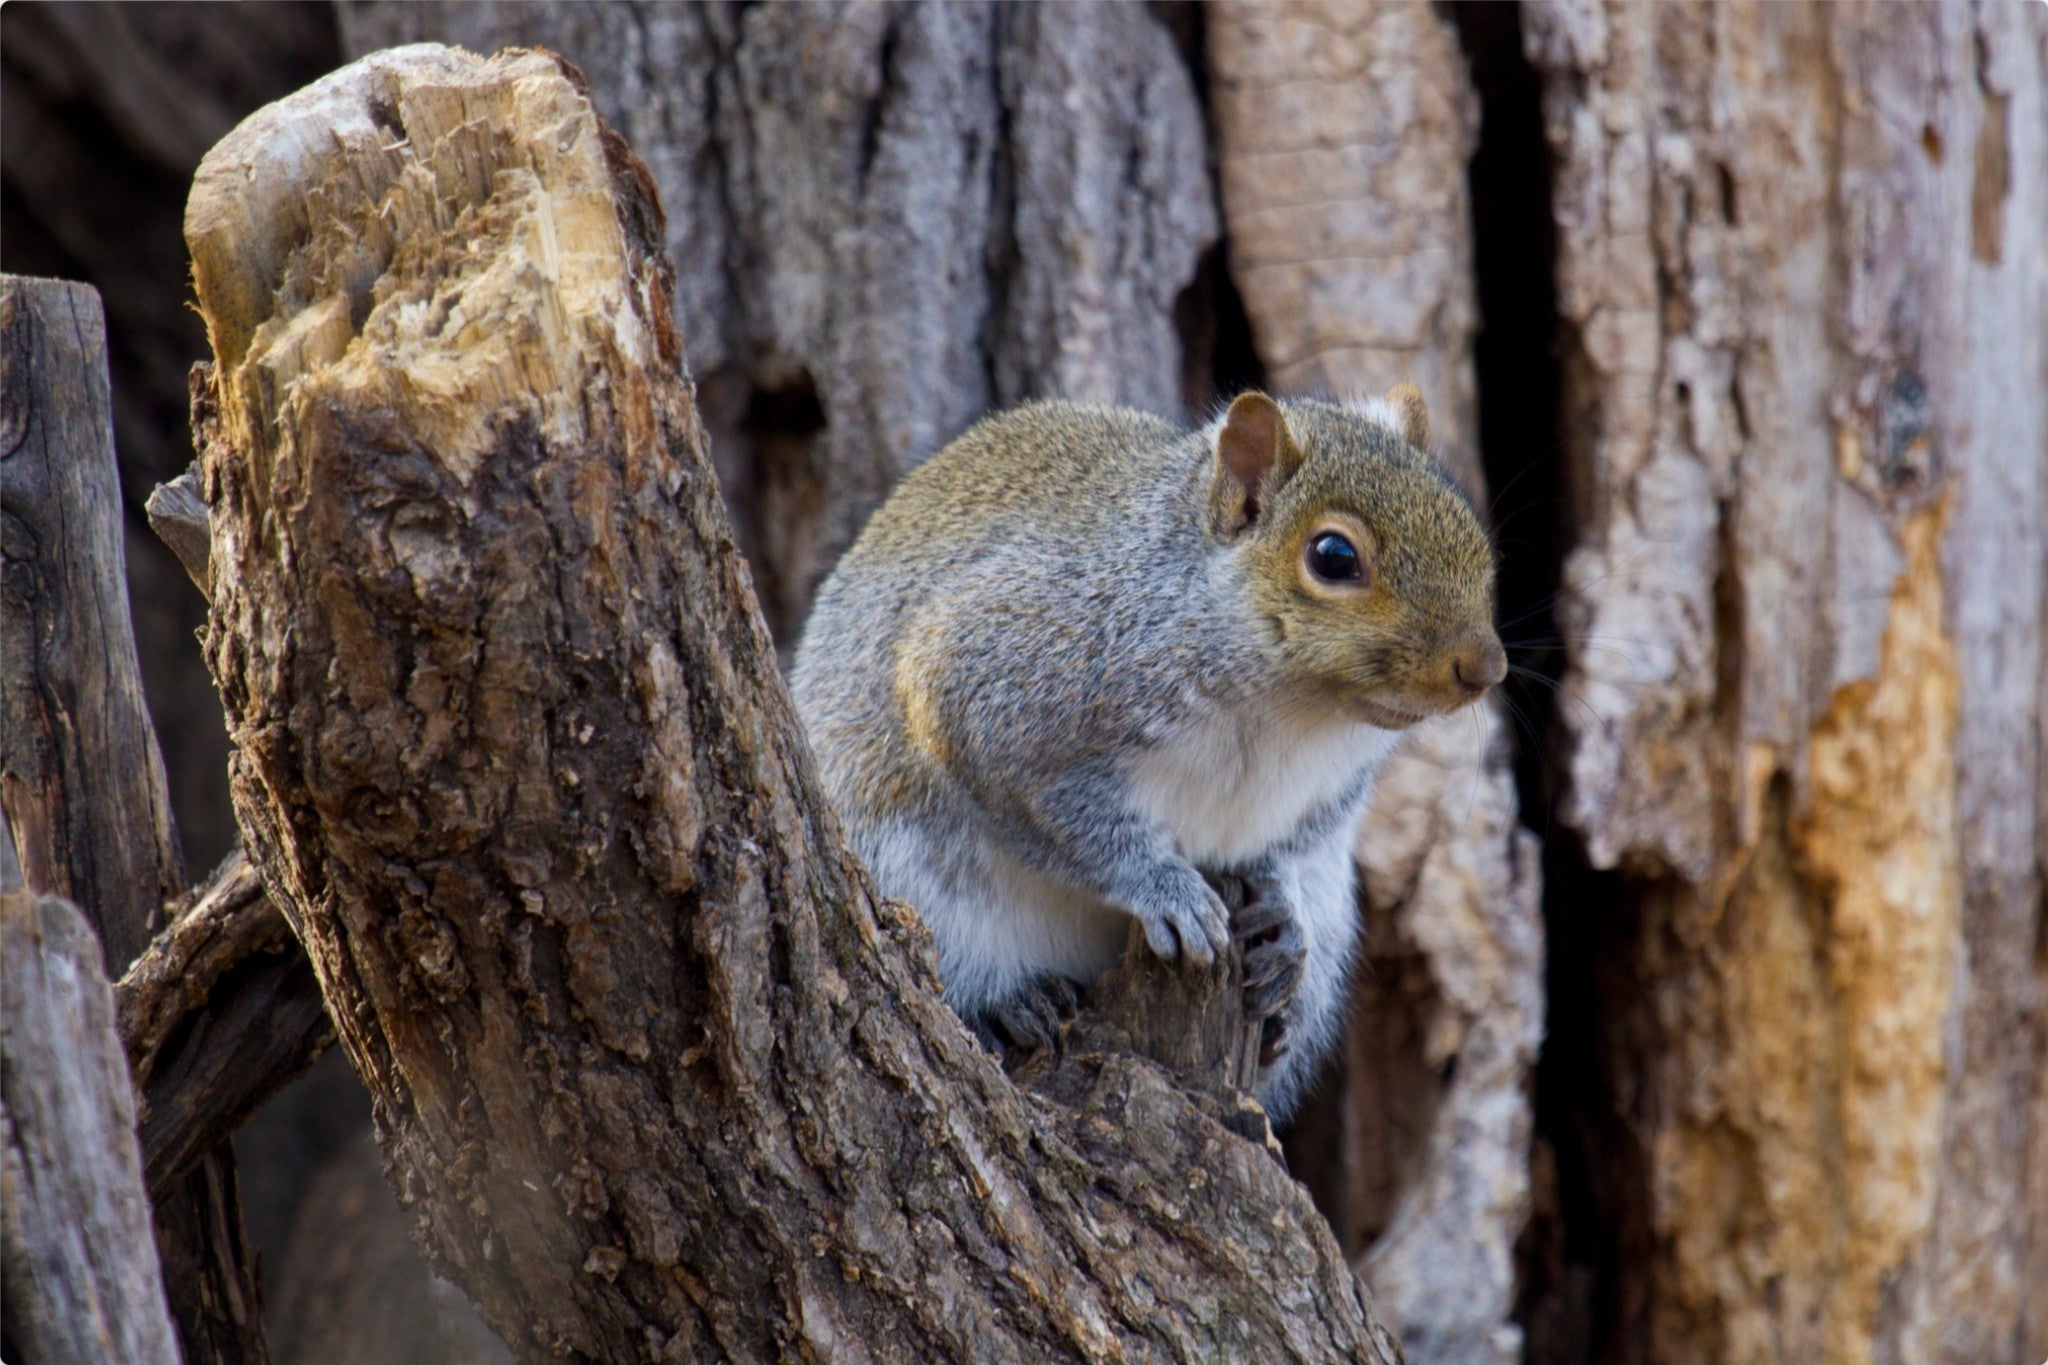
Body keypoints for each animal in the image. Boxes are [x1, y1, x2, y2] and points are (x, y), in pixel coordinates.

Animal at [790, 387, 1503, 1119]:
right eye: (1332, 557)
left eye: (1468, 526)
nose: (1485, 667)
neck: (1292, 710)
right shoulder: (1002, 686)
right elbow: (1059, 817)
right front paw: (1164, 887)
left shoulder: (1334, 789)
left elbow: (1292, 843)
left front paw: (1281, 912)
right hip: (906, 873)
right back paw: (1010, 1000)